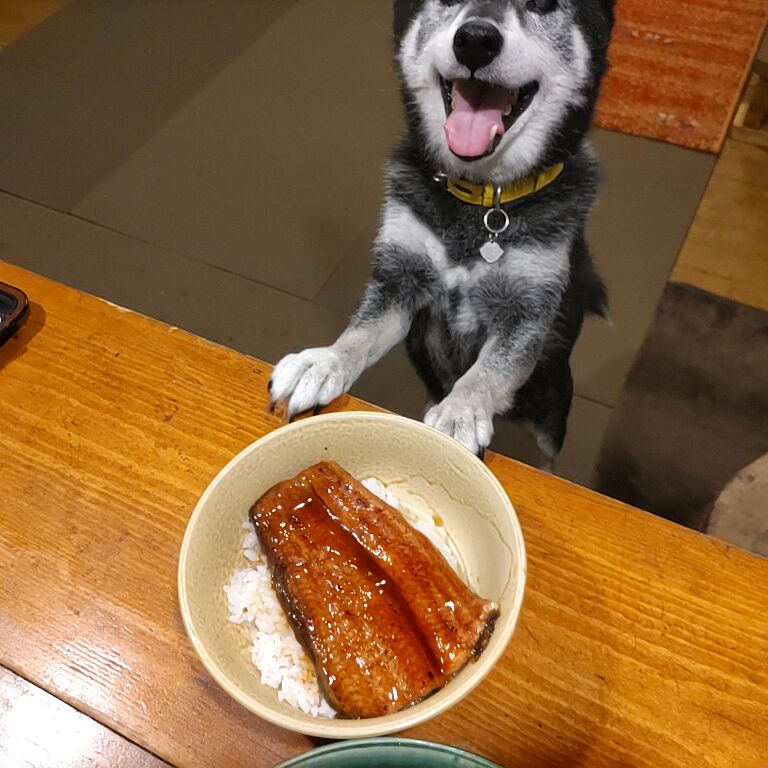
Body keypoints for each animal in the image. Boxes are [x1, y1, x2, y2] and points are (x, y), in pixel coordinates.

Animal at [268, 0, 612, 468]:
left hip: (550, 403)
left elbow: (485, 374)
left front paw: (458, 412)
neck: (483, 204)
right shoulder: (400, 281)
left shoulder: (525, 313)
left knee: (547, 448)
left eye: (542, 4)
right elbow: (361, 333)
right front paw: (322, 362)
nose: (476, 41)